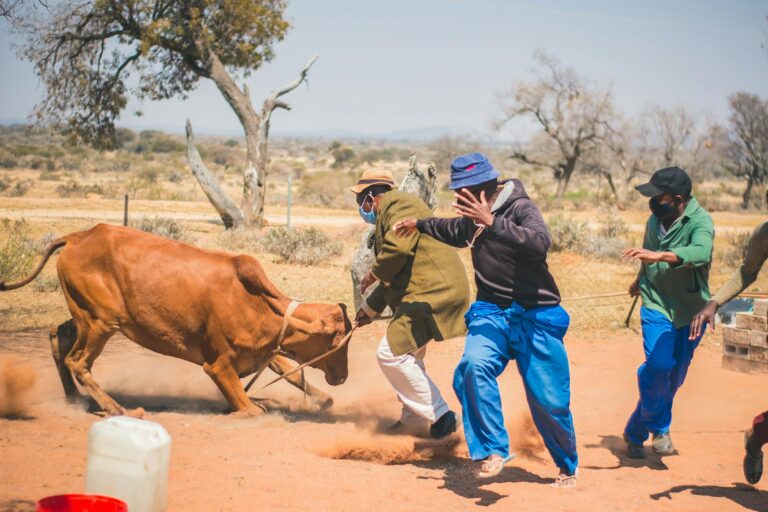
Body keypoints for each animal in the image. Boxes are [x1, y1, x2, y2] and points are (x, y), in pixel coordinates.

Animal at [0, 224, 352, 417]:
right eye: (335, 342)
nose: (343, 377)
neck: (256, 301)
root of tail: (79, 236)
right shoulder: (218, 366)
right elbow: (249, 405)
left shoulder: (265, 350)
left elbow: (288, 372)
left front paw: (322, 399)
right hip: (101, 323)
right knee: (78, 361)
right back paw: (117, 408)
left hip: (85, 317)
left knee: (58, 337)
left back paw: (75, 398)